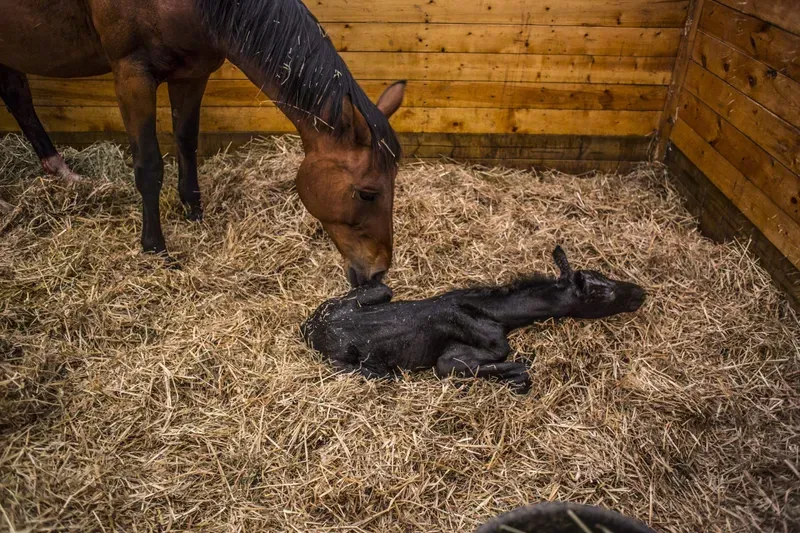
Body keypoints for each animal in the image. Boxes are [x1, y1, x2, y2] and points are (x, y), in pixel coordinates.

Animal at [0, 0, 406, 286]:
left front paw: (193, 210)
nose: (378, 272)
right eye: (367, 193)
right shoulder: (132, 75)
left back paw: (62, 171)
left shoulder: (191, 73)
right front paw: (156, 248)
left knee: (17, 94)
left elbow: (186, 141)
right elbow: (149, 165)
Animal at [301, 246, 646, 394]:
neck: (499, 314)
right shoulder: (449, 361)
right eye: (600, 294)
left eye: (604, 275)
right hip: (366, 365)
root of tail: (310, 329)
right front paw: (517, 380)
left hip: (378, 291)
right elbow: (518, 368)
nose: (640, 292)